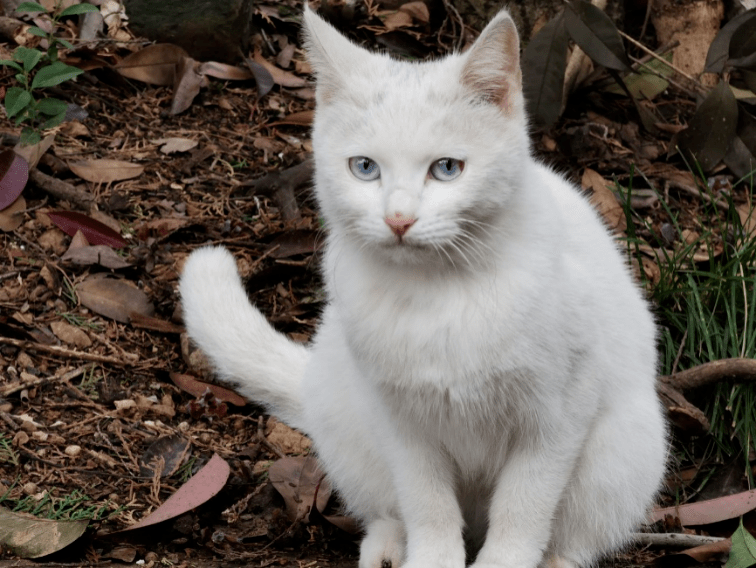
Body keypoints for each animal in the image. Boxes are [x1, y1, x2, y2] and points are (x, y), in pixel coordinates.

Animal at [180, 7, 664, 568]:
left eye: (446, 169)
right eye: (364, 168)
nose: (398, 219)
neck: (440, 294)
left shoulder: (557, 419)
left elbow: (522, 512)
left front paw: (504, 560)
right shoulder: (401, 422)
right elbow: (426, 504)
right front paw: (430, 556)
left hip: (623, 454)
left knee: (574, 541)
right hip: (343, 417)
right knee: (387, 510)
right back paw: (388, 548)